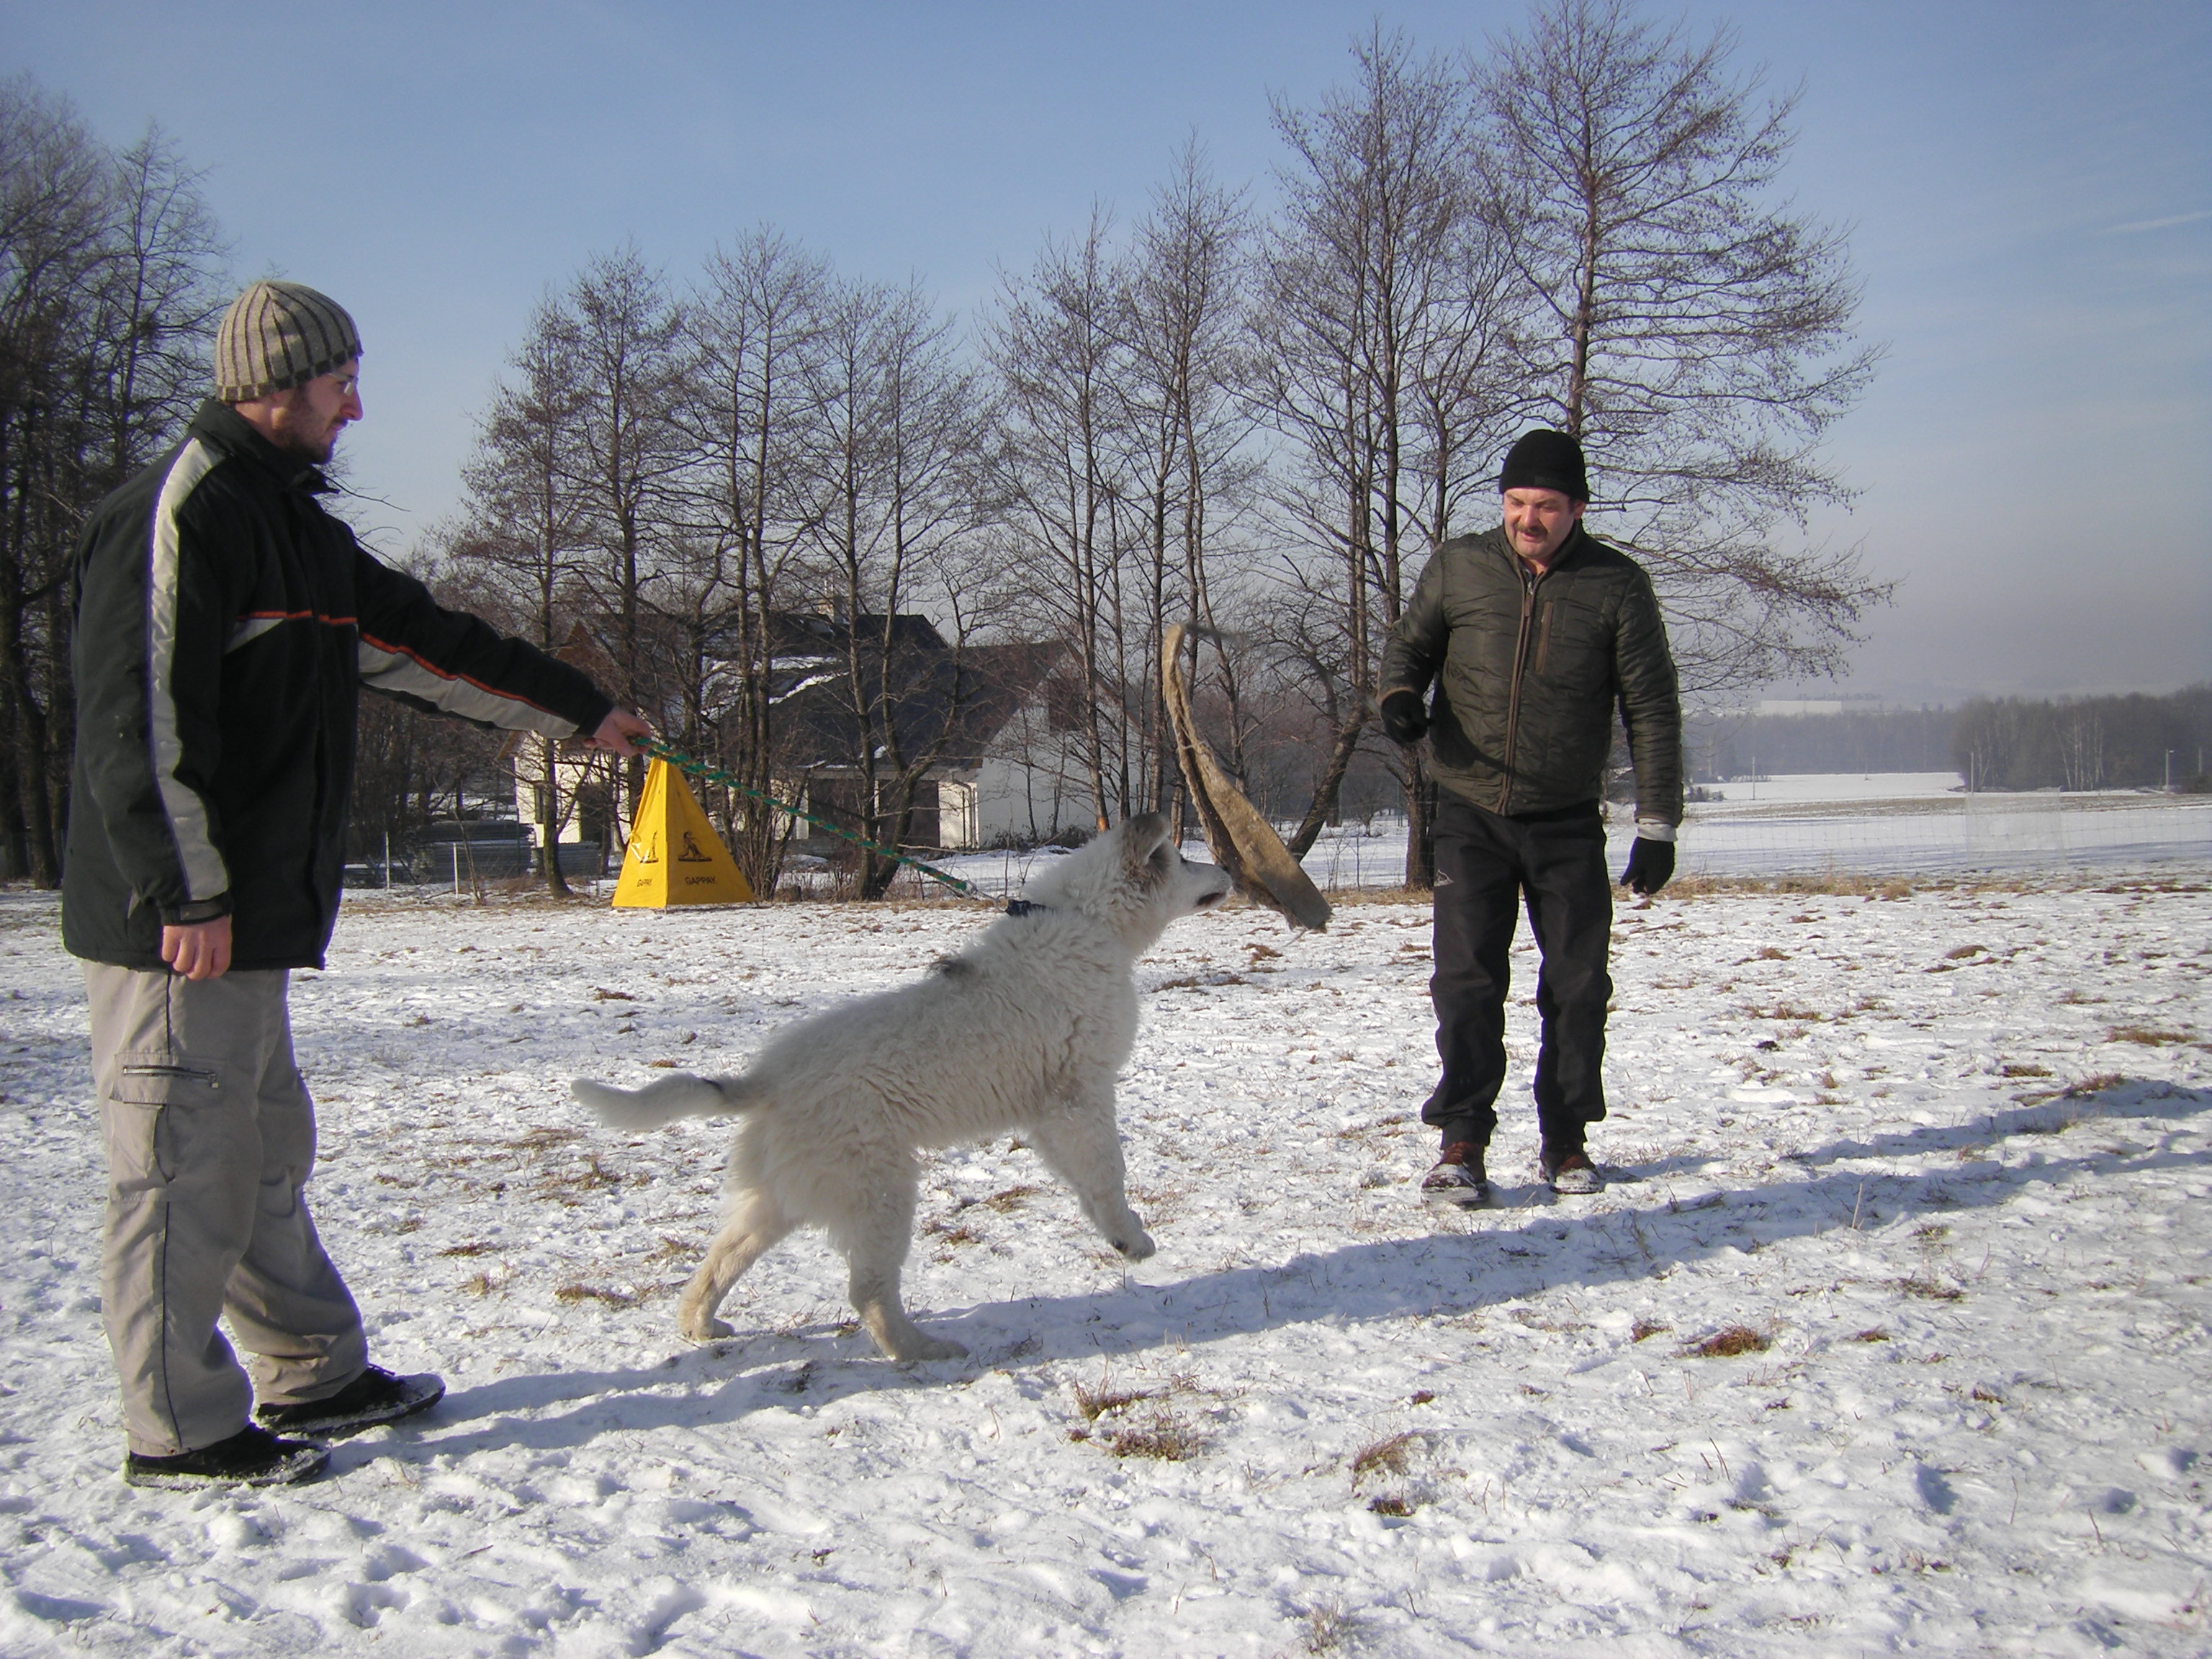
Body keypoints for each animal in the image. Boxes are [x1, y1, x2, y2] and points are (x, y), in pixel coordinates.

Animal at [566, 814, 1230, 1371]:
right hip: (879, 1190)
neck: (1089, 922)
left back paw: (700, 1325)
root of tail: (766, 1082)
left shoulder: (1050, 1112)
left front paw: (1118, 1236)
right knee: (867, 1290)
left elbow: (1087, 1181)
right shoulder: (1081, 1094)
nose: (1225, 869)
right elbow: (1108, 1172)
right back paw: (921, 1350)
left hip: (783, 1194)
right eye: (1181, 859)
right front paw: (1132, 1239)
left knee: (723, 1257)